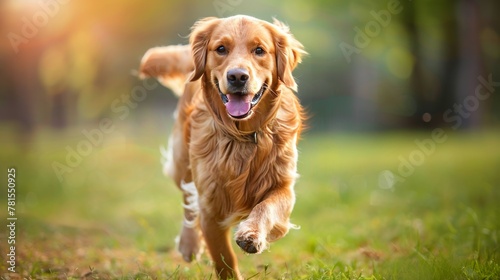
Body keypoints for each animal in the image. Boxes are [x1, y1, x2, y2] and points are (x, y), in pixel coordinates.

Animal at [139, 15, 306, 280]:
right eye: (220, 49)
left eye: (259, 50)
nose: (237, 76)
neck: (243, 135)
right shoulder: (210, 205)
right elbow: (223, 257)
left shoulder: (283, 187)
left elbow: (265, 208)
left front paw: (251, 234)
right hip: (181, 158)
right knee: (187, 195)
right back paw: (188, 244)